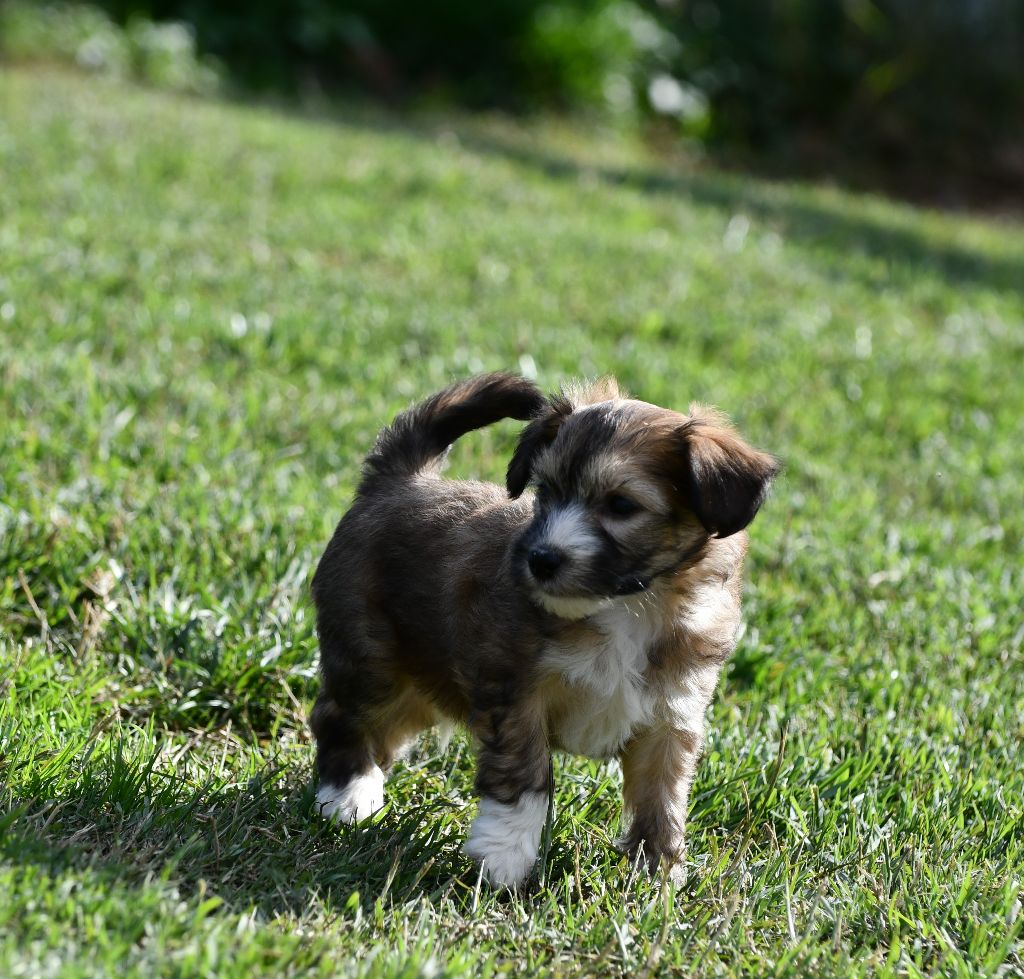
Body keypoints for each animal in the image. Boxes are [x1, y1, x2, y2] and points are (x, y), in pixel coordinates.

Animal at [310, 372, 778, 886]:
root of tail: (399, 481)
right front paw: (504, 858)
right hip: (372, 657)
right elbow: (525, 778)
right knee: (342, 716)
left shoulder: (672, 713)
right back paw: (349, 795)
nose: (541, 559)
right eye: (548, 491)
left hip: (422, 682)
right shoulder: (516, 694)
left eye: (621, 505)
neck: (631, 606)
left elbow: (663, 797)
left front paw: (657, 873)